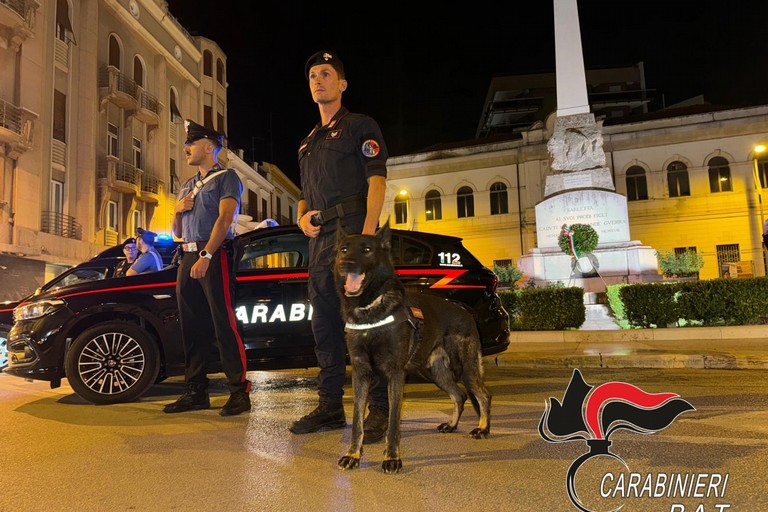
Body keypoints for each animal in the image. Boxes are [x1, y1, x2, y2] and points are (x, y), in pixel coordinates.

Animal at [334, 222, 492, 474]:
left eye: (367, 250)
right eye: (344, 249)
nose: (346, 264)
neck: (370, 309)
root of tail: (465, 312)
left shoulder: (395, 376)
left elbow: (393, 423)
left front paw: (391, 458)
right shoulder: (361, 375)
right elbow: (357, 421)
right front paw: (352, 455)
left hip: (466, 369)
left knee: (483, 395)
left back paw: (483, 428)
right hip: (434, 373)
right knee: (459, 394)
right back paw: (452, 424)